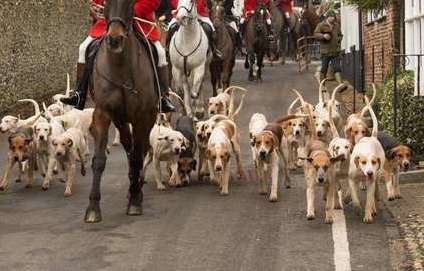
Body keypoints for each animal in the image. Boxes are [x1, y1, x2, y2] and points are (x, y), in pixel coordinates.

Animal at [84, 0, 159, 223]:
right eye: (107, 2)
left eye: (129, 3)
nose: (115, 40)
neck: (120, 66)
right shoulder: (103, 113)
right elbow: (99, 160)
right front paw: (93, 207)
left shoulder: (142, 117)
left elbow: (137, 156)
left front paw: (135, 200)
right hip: (120, 120)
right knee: (129, 145)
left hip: (147, 118)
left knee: (139, 150)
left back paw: (136, 188)